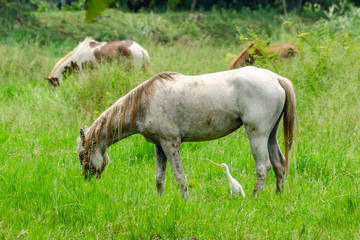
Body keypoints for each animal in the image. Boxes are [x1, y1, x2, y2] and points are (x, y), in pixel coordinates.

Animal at [77, 66, 296, 198]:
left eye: (81, 155)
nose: (87, 180)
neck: (145, 103)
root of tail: (276, 78)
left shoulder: (170, 144)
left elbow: (180, 177)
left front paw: (185, 201)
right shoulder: (159, 146)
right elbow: (160, 178)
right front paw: (159, 201)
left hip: (257, 135)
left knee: (263, 167)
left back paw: (254, 197)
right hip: (270, 135)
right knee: (279, 164)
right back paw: (278, 196)